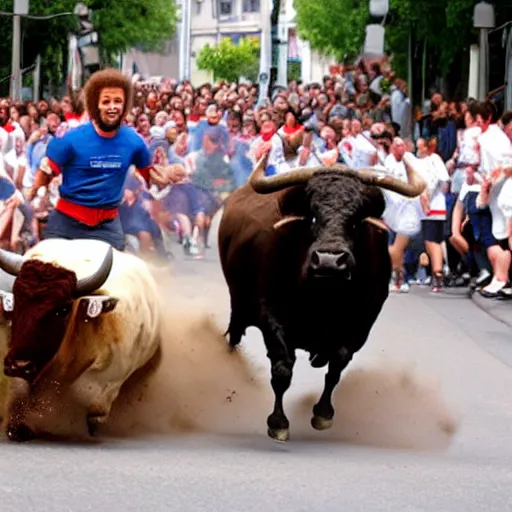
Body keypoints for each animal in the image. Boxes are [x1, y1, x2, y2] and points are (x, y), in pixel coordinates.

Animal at [0, 238, 162, 442]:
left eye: (63, 309)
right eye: (17, 300)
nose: (19, 365)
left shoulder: (112, 377)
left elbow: (90, 399)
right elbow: (20, 392)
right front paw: (18, 426)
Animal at [218, 156, 426, 440]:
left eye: (356, 220)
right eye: (313, 216)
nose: (329, 261)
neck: (323, 298)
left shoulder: (359, 324)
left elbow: (336, 367)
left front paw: (323, 414)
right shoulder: (270, 315)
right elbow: (282, 369)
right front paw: (278, 422)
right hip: (238, 307)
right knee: (234, 339)